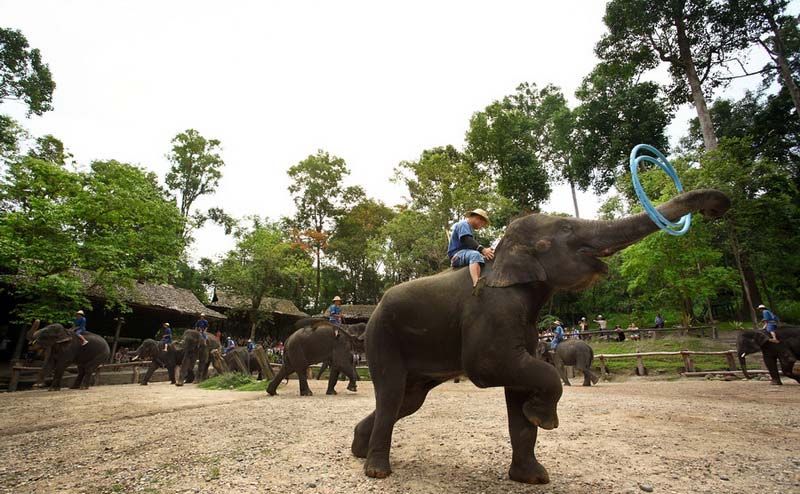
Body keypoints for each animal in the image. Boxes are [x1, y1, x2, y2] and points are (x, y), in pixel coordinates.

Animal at [354, 188, 732, 482]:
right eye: (566, 227)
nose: (717, 208)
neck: (506, 256)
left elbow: (519, 389)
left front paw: (533, 476)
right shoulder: (491, 311)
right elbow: (490, 367)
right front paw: (544, 418)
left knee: (409, 400)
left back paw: (357, 449)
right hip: (381, 336)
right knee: (392, 395)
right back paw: (377, 471)